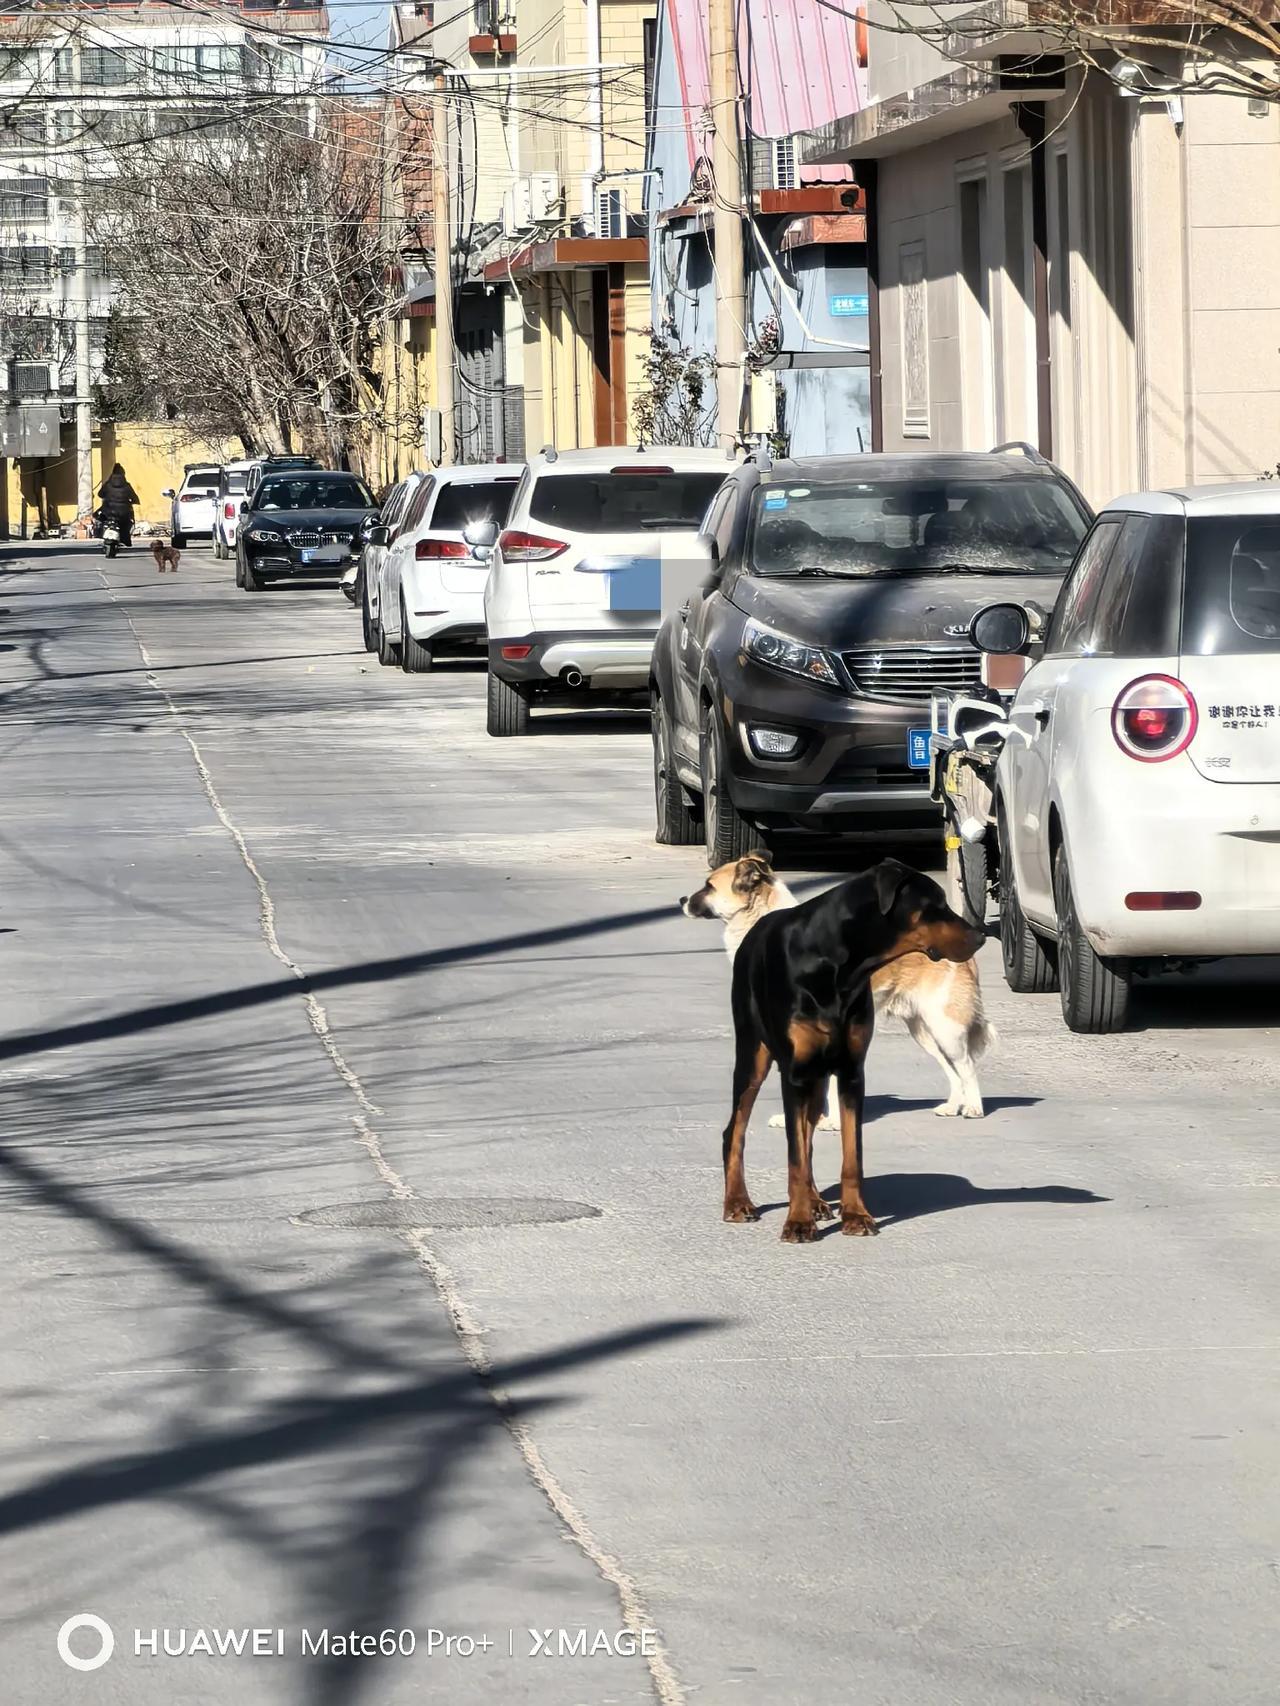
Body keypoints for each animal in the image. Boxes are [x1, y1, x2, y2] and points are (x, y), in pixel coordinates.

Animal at [686, 853, 996, 1119]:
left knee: (966, 1065)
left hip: (945, 1026)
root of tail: (966, 953)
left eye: (709, 886)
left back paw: (974, 1106)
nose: (682, 900)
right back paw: (954, 1105)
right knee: (952, 1069)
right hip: (924, 1029)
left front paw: (831, 1122)